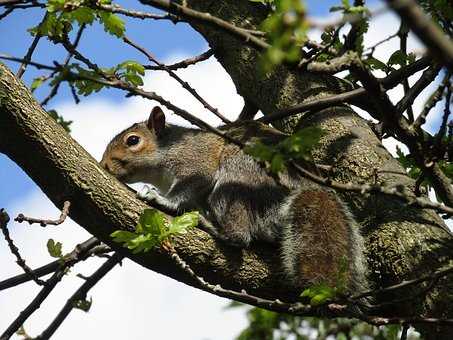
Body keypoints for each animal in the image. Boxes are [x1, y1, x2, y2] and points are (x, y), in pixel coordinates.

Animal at [100, 106, 368, 294]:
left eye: (133, 140)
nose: (104, 165)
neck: (168, 149)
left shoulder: (197, 164)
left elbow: (184, 190)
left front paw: (160, 199)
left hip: (236, 178)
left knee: (240, 236)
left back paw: (213, 226)